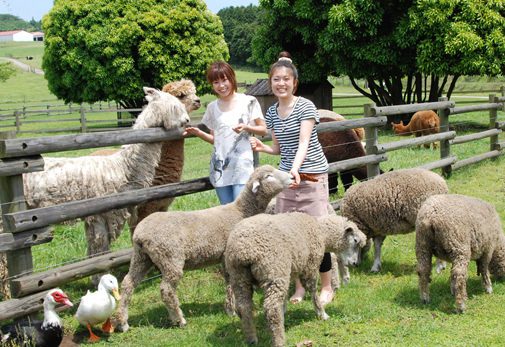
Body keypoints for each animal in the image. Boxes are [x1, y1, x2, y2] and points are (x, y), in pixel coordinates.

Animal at [113, 166, 292, 332]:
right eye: (268, 176)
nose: (291, 177)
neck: (241, 211)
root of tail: (139, 233)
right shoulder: (228, 256)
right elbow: (231, 282)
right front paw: (233, 310)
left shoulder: (224, 257)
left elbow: (228, 281)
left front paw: (230, 308)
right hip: (169, 257)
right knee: (166, 290)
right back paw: (179, 319)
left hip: (142, 257)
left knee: (128, 283)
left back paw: (123, 322)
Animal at [223, 212, 362, 347]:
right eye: (355, 240)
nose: (355, 263)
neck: (322, 233)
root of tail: (244, 250)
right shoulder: (310, 266)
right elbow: (312, 291)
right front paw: (321, 313)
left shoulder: (290, 269)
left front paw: (284, 309)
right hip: (274, 271)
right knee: (271, 308)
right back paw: (279, 341)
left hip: (239, 277)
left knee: (244, 306)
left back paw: (251, 338)